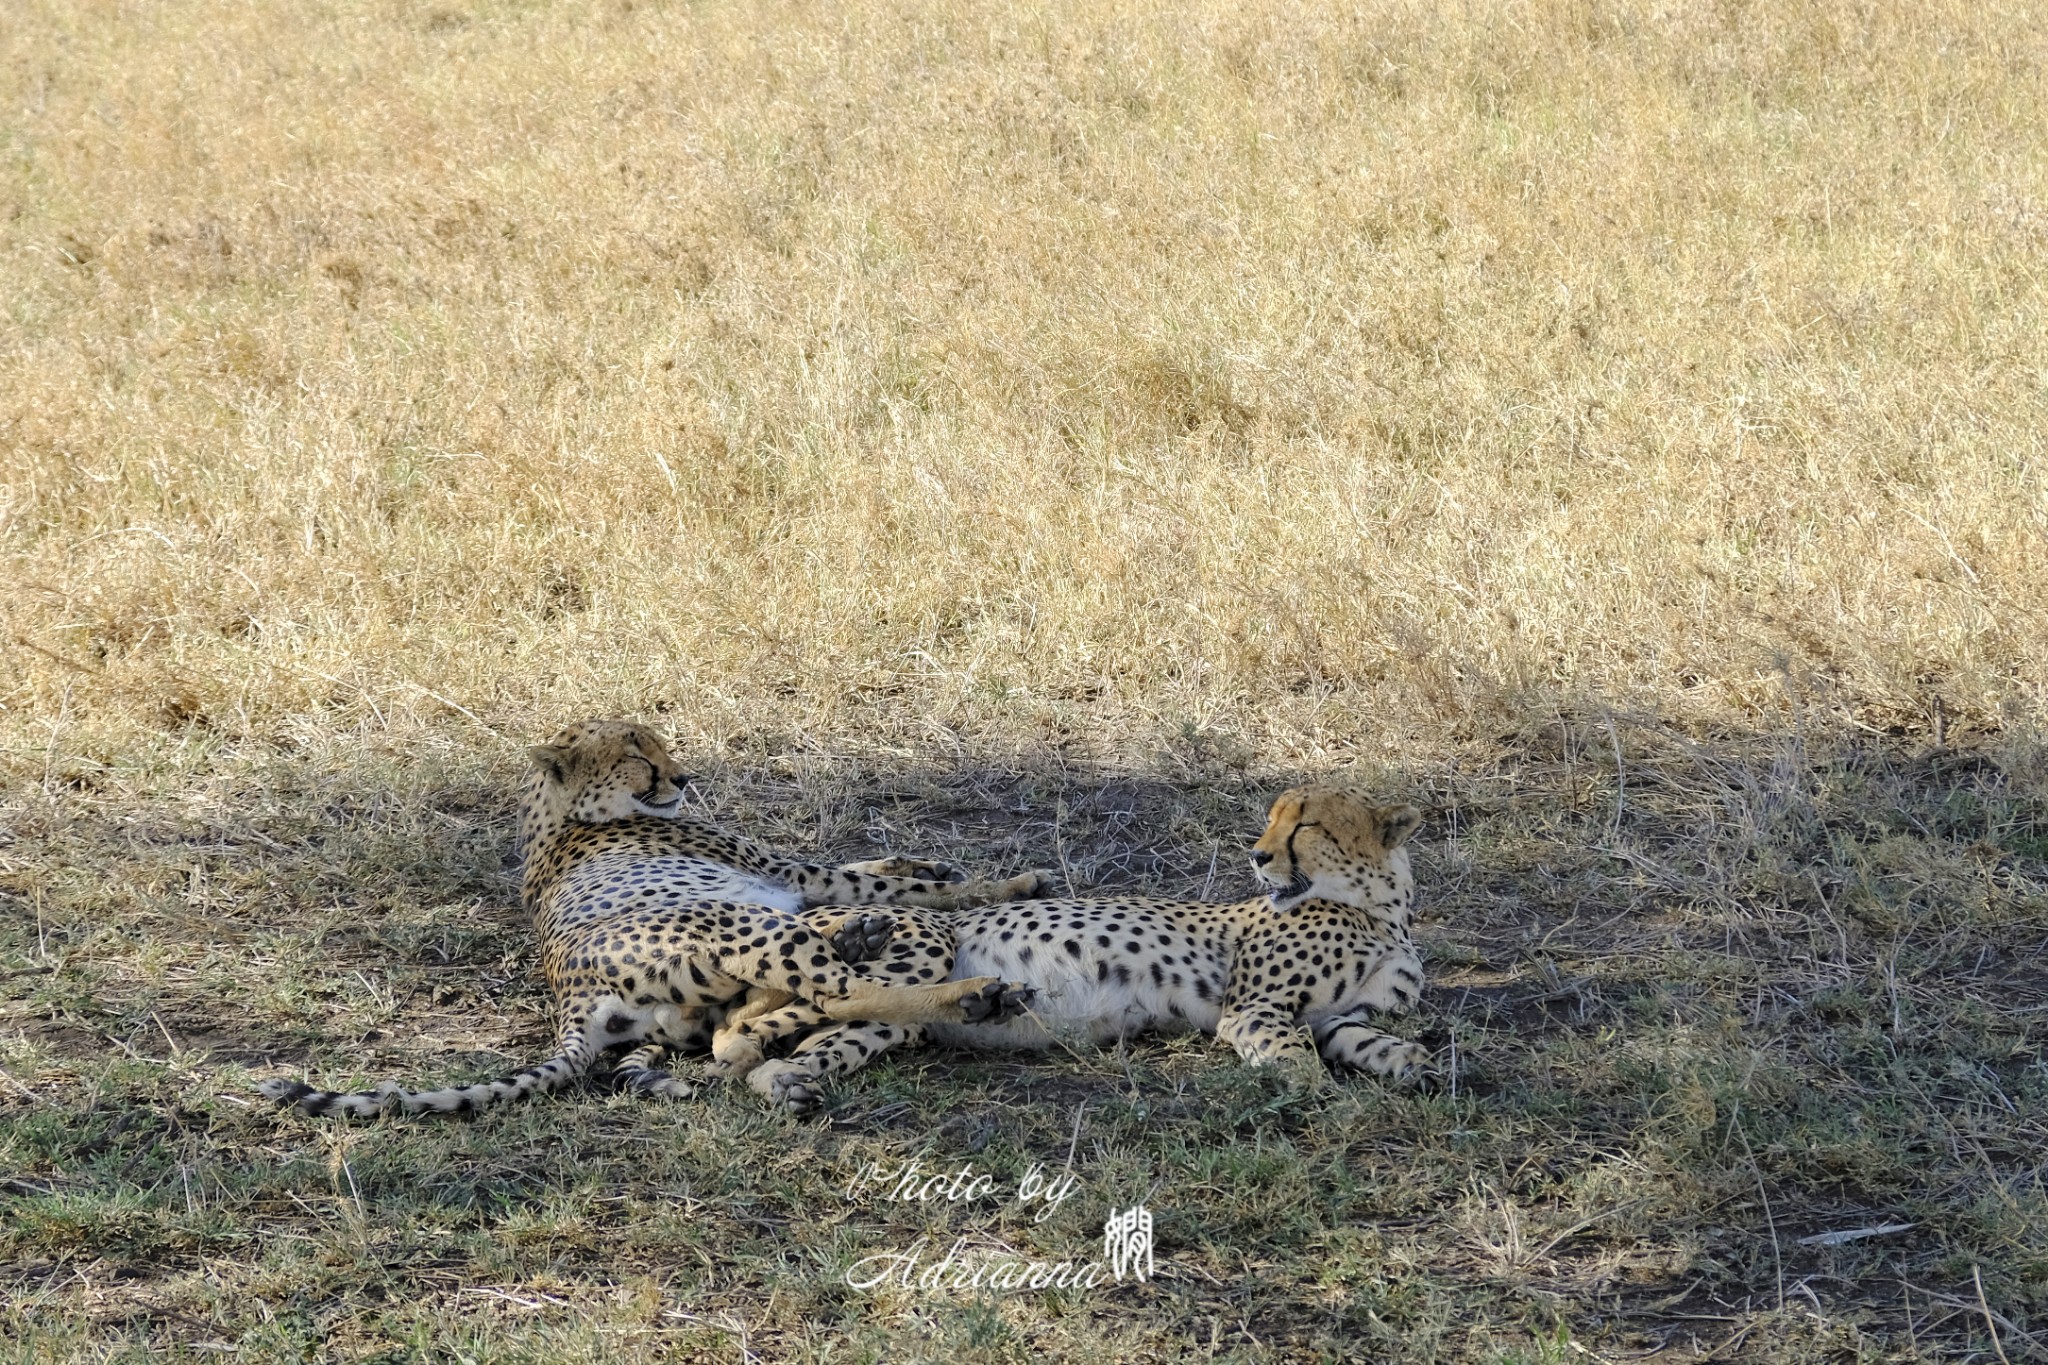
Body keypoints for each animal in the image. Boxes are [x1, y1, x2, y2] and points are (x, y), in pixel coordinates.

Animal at [262, 720, 1048, 1113]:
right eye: (640, 754)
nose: (685, 776)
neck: (561, 813)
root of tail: (572, 999)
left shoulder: (787, 875)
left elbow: (870, 867)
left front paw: (926, 866)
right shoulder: (786, 876)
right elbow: (879, 883)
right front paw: (1012, 879)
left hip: (709, 980)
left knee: (764, 1006)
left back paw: (857, 939)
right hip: (737, 922)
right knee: (842, 991)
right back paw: (972, 993)